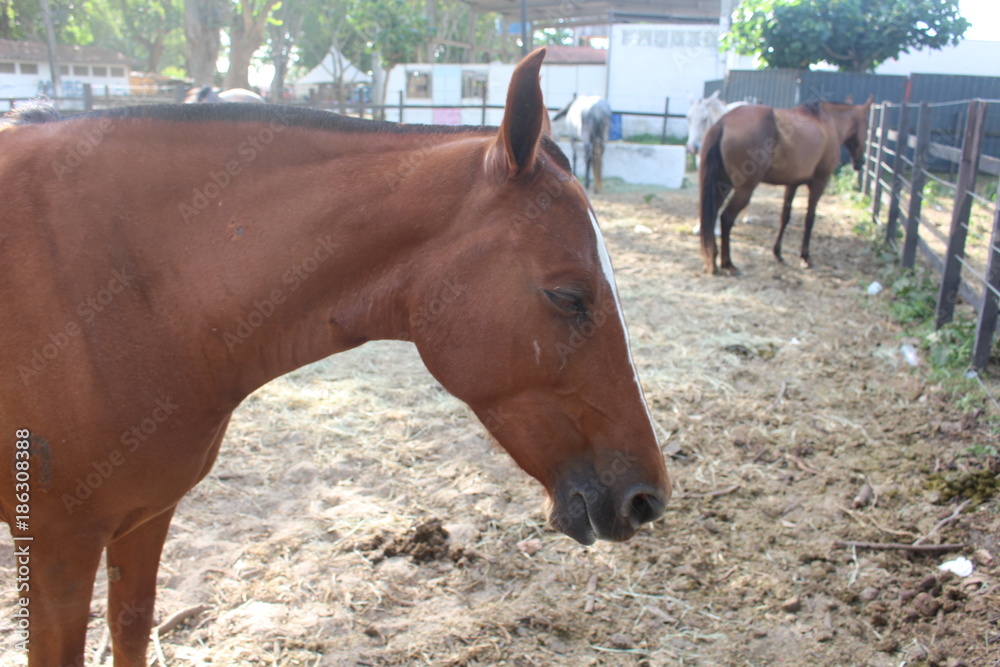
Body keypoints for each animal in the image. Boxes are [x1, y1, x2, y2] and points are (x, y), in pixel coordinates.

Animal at [0, 48, 670, 666]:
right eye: (567, 296)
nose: (648, 499)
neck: (133, 287)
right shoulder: (58, 550)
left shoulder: (145, 519)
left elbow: (132, 631)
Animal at [699, 97, 873, 275]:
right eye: (867, 125)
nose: (860, 162)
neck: (827, 123)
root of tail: (724, 122)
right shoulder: (819, 182)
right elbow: (809, 218)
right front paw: (805, 256)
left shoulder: (792, 184)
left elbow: (785, 217)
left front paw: (778, 253)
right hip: (744, 189)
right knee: (726, 218)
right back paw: (727, 263)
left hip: (723, 185)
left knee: (712, 214)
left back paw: (712, 258)